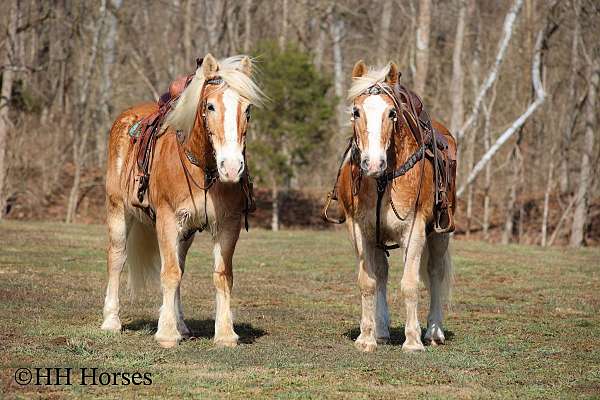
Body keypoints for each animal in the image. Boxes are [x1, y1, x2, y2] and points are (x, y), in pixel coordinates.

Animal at [102, 53, 264, 346]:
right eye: (210, 106)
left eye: (247, 109)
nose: (231, 167)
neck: (203, 168)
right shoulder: (167, 219)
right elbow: (170, 273)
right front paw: (166, 333)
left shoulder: (228, 223)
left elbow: (221, 276)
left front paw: (225, 334)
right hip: (118, 210)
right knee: (117, 259)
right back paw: (111, 321)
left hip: (186, 232)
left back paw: (182, 325)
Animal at [326, 61, 458, 352]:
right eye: (356, 112)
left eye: (392, 113)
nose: (373, 163)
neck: (381, 181)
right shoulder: (359, 230)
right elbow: (368, 282)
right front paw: (366, 338)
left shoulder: (415, 230)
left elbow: (410, 284)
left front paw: (413, 341)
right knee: (382, 275)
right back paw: (382, 331)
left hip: (440, 233)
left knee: (435, 273)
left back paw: (433, 331)